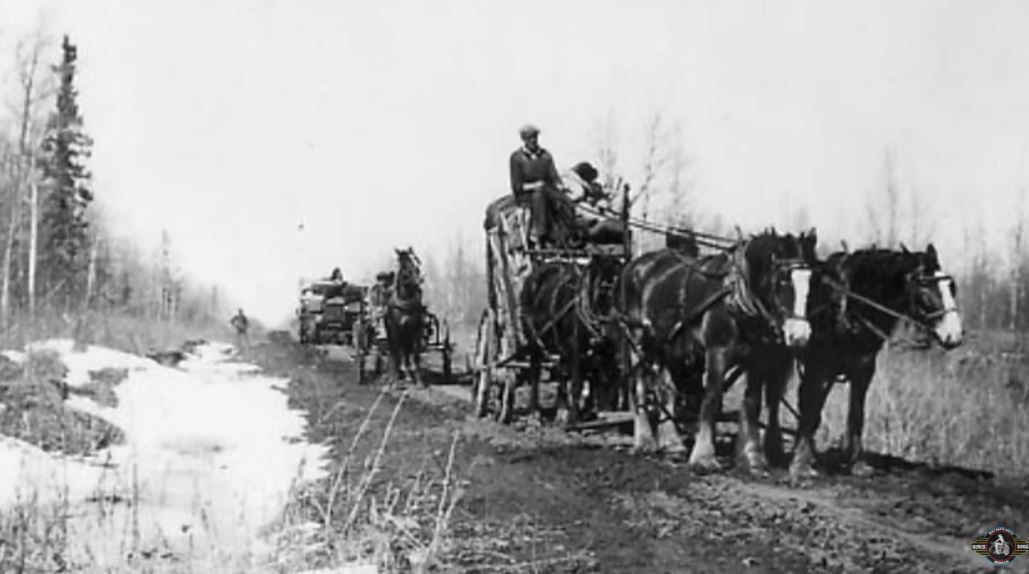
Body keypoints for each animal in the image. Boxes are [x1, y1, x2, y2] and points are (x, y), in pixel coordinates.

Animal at [382, 247, 426, 386]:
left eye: (417, 262)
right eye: (404, 266)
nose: (419, 280)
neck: (405, 301)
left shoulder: (415, 329)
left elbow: (415, 353)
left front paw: (419, 380)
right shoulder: (396, 329)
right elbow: (396, 352)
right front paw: (395, 380)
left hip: (407, 334)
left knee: (406, 351)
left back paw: (407, 374)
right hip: (392, 331)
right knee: (395, 350)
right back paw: (393, 375)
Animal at [518, 254, 621, 425]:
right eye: (604, 288)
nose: (614, 330)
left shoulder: (604, 352)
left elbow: (602, 380)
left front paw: (592, 411)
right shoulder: (575, 349)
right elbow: (577, 383)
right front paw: (574, 418)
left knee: (560, 371)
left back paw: (561, 410)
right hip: (534, 341)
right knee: (535, 372)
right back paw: (534, 413)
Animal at [609, 227, 819, 475]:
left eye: (812, 282)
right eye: (784, 280)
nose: (800, 336)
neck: (737, 297)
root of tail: (633, 265)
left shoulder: (757, 358)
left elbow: (753, 402)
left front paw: (752, 458)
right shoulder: (717, 351)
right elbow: (711, 399)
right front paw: (704, 458)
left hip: (667, 345)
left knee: (666, 390)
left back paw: (673, 444)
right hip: (639, 341)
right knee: (640, 385)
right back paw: (644, 441)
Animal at [786, 244, 963, 479]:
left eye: (951, 286)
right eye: (925, 286)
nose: (954, 335)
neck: (847, 307)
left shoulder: (863, 369)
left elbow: (857, 413)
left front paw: (857, 464)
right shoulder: (821, 369)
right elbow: (812, 410)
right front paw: (800, 463)